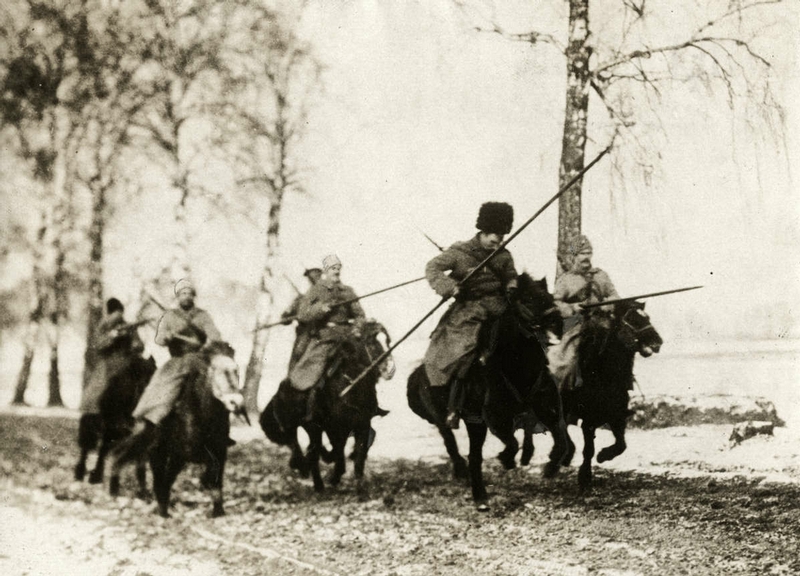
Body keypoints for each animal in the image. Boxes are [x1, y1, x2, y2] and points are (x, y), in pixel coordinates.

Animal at [108, 340, 247, 520]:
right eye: (212, 370)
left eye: (237, 370)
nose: (235, 402)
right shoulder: (174, 454)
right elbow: (164, 480)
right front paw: (163, 510)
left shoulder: (219, 452)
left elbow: (216, 480)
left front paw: (218, 512)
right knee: (123, 455)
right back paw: (116, 490)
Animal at [260, 318, 396, 492]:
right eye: (371, 343)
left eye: (387, 341)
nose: (390, 369)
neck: (349, 388)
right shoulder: (335, 428)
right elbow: (338, 450)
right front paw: (336, 476)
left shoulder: (362, 425)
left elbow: (358, 455)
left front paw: (358, 484)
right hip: (300, 427)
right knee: (304, 448)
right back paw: (314, 479)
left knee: (315, 449)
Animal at [406, 274, 568, 508]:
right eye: (527, 299)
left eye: (549, 295)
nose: (557, 321)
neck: (518, 368)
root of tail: (419, 374)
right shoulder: (495, 418)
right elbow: (511, 442)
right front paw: (506, 459)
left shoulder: (549, 410)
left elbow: (561, 440)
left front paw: (551, 465)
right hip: (451, 420)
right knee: (455, 445)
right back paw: (470, 483)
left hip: (474, 423)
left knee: (474, 455)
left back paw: (479, 493)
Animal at [556, 302, 664, 490]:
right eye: (632, 319)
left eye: (647, 317)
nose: (657, 342)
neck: (604, 375)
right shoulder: (589, 420)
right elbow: (588, 450)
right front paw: (584, 477)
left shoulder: (616, 416)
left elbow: (621, 445)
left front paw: (604, 455)